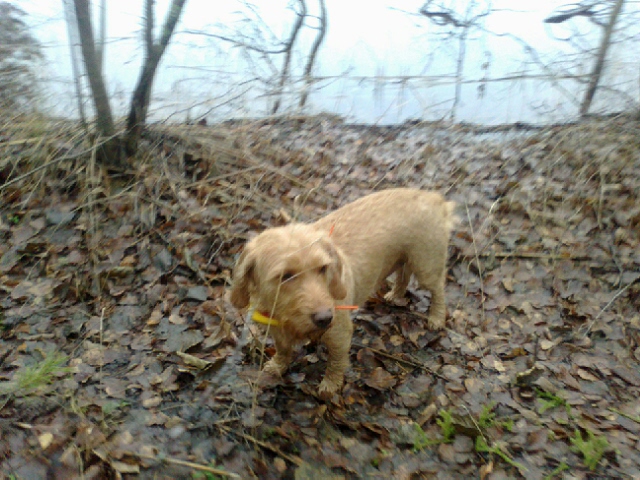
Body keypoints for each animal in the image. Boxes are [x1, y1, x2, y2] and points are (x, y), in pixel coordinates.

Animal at [229, 188, 456, 398]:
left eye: (323, 268)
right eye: (285, 276)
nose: (325, 318)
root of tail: (432, 197)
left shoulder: (340, 334)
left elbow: (336, 362)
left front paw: (330, 386)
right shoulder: (277, 330)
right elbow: (283, 350)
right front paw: (277, 366)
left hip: (426, 266)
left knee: (438, 289)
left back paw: (436, 316)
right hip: (404, 258)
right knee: (403, 274)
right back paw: (396, 294)